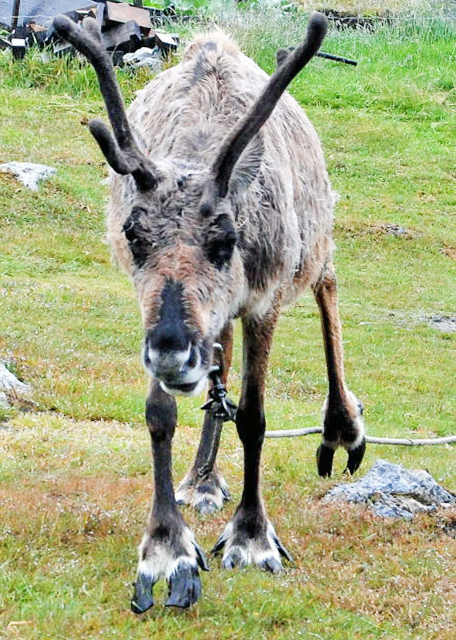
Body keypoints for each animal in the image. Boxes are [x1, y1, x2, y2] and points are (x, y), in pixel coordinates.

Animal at [53, 12, 365, 612]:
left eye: (226, 239)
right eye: (133, 235)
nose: (172, 354)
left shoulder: (264, 300)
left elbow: (255, 418)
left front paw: (251, 536)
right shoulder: (156, 315)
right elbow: (160, 415)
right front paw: (165, 549)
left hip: (316, 241)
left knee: (328, 284)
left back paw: (341, 426)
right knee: (219, 364)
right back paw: (201, 478)